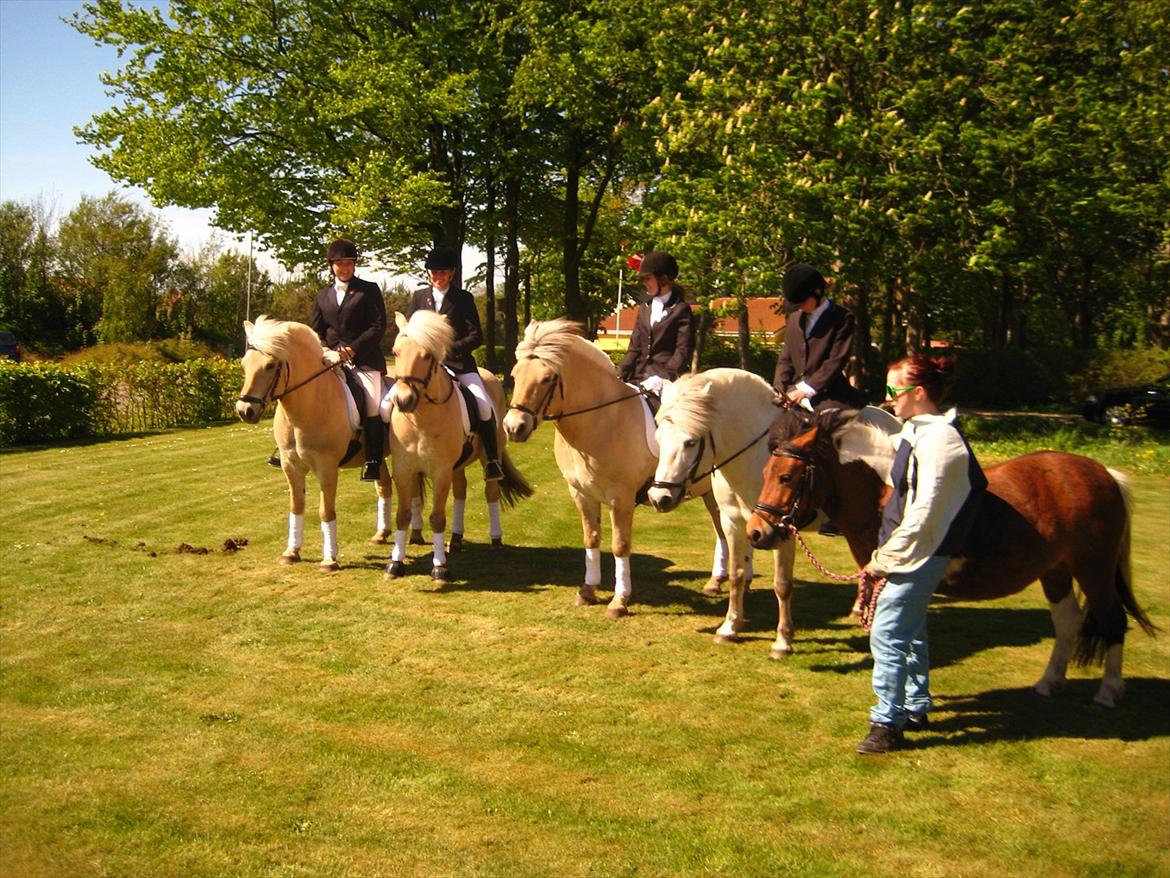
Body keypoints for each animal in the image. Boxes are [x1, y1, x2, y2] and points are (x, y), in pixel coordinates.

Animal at [236, 316, 393, 571]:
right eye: (243, 365)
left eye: (270, 366)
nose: (244, 411)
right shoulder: (290, 466)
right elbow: (296, 506)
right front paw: (291, 552)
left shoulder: (326, 467)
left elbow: (325, 511)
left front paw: (329, 559)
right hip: (377, 458)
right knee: (384, 486)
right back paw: (381, 534)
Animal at [386, 309, 533, 585]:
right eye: (396, 352)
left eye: (427, 355)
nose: (403, 400)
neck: (420, 417)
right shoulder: (403, 469)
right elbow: (402, 515)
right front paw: (395, 564)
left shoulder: (440, 471)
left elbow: (437, 518)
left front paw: (440, 568)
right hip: (456, 466)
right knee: (461, 491)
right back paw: (455, 539)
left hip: (489, 456)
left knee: (491, 491)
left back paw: (495, 540)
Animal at [505, 320, 730, 618]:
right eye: (515, 375)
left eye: (547, 378)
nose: (513, 427)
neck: (601, 420)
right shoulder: (581, 495)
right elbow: (591, 539)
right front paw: (587, 591)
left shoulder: (620, 498)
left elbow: (620, 545)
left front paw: (619, 601)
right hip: (710, 493)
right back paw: (717, 582)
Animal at [645, 372, 898, 660]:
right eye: (659, 438)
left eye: (690, 442)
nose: (659, 497)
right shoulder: (733, 522)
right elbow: (736, 574)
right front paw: (729, 628)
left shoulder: (781, 529)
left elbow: (782, 585)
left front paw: (782, 641)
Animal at [744, 412, 1155, 707]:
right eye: (763, 472)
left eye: (786, 476)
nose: (756, 532)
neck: (887, 495)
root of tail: (1104, 473)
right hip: (1056, 570)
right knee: (1068, 621)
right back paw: (1049, 682)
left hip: (1094, 569)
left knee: (1113, 619)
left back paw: (1109, 690)